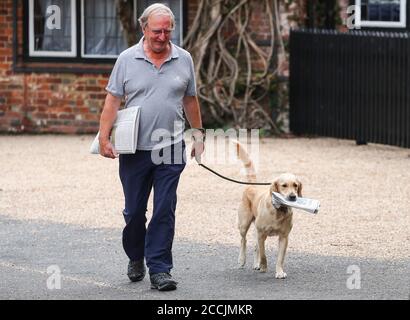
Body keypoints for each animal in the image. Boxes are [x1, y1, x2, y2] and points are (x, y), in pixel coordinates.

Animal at [234, 141, 302, 278]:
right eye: (284, 185)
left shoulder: (284, 237)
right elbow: (264, 255)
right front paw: (263, 267)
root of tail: (252, 185)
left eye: (295, 185)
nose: (293, 196)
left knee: (255, 246)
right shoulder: (262, 234)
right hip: (244, 224)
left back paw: (256, 264)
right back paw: (242, 260)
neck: (278, 211)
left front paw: (279, 272)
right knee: (244, 240)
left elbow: (280, 258)